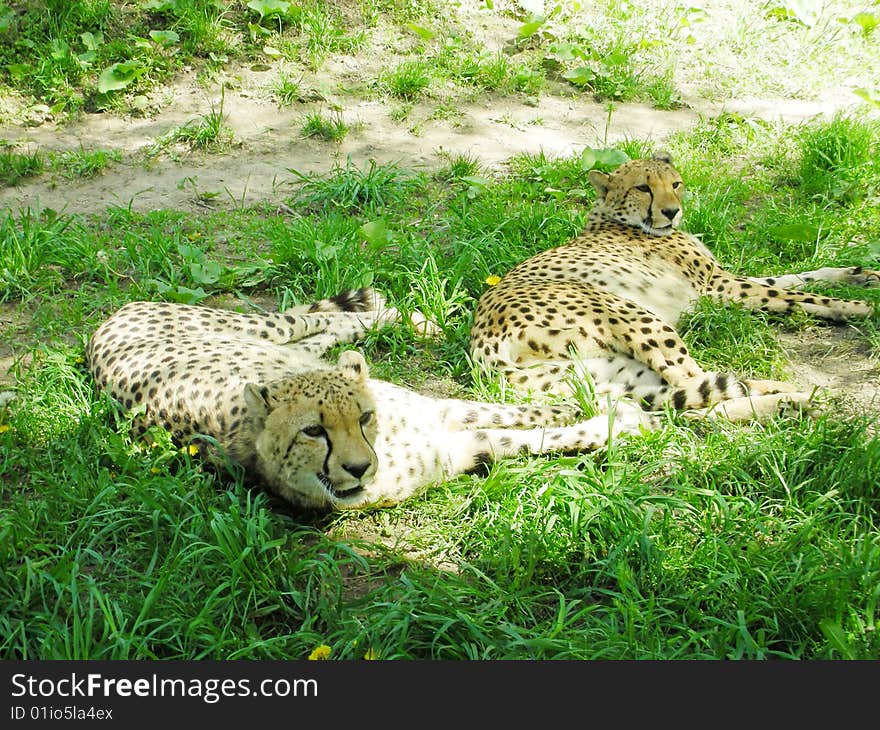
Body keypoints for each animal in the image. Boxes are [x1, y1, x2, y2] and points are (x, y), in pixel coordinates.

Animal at [87, 288, 652, 510]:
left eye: (364, 417)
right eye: (313, 431)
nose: (358, 468)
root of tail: (102, 326)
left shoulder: (442, 412)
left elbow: (515, 413)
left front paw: (577, 408)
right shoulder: (461, 448)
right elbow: (525, 437)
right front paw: (618, 422)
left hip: (264, 332)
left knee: (319, 325)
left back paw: (398, 317)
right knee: (321, 330)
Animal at [470, 151, 876, 418]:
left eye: (675, 183)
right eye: (643, 188)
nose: (671, 211)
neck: (619, 217)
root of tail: (480, 344)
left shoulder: (723, 281)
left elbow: (797, 276)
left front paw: (860, 276)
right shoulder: (720, 287)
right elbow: (795, 294)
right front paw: (857, 306)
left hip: (606, 371)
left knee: (689, 395)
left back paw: (784, 393)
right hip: (641, 320)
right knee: (698, 397)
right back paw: (793, 401)